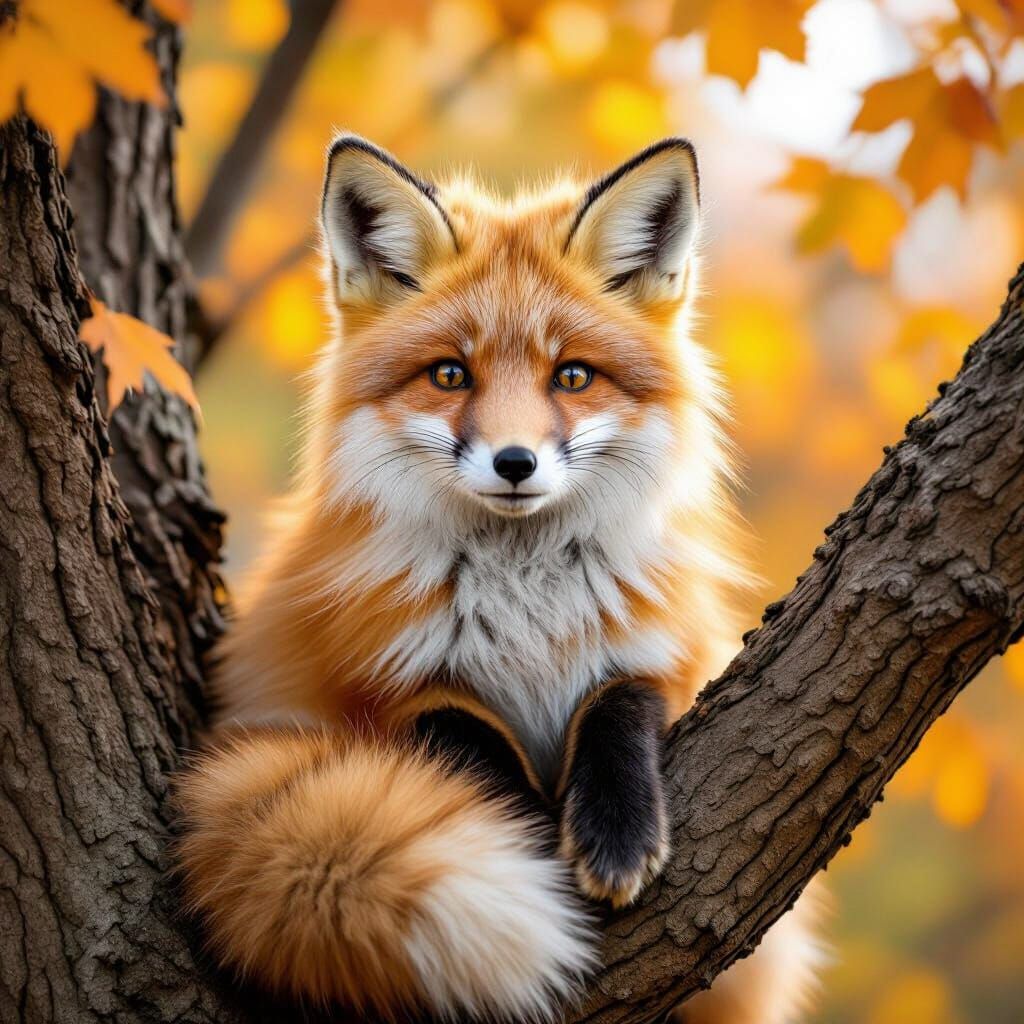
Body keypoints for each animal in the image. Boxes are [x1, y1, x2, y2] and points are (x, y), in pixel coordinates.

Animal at [175, 134, 825, 1023]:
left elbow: (617, 698)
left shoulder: (678, 658)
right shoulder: (379, 686)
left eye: (573, 376)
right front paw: (528, 841)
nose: (515, 463)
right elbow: (465, 735)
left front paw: (615, 829)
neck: (525, 602)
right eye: (451, 375)